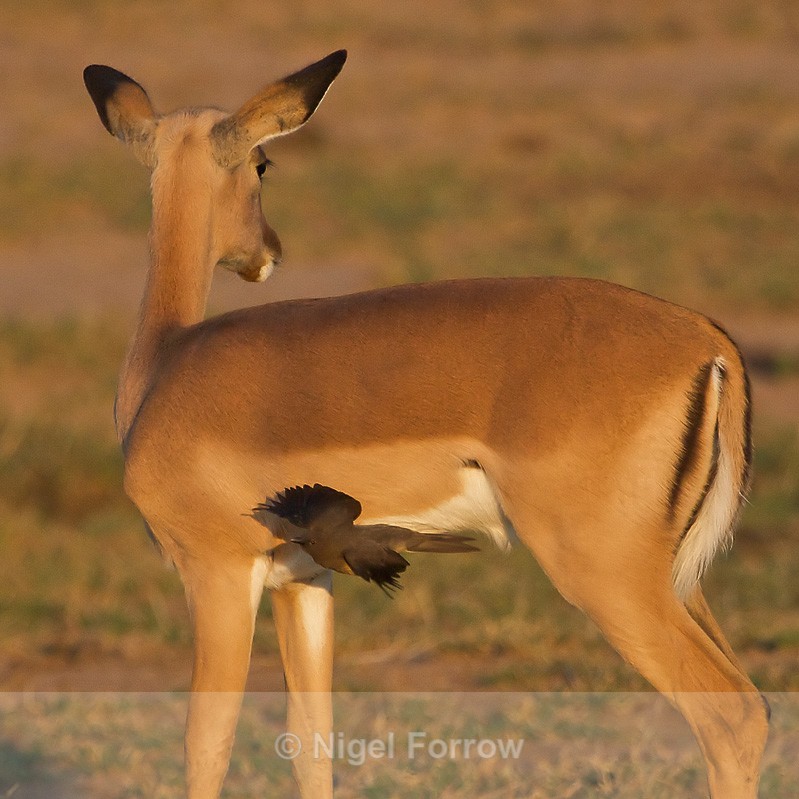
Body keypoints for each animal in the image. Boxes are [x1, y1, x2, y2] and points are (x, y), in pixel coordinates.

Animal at [83, 51, 768, 798]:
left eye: (264, 164)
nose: (269, 251)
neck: (165, 364)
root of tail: (708, 343)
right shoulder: (304, 580)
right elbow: (311, 740)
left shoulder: (218, 574)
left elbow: (207, 742)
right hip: (676, 579)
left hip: (608, 577)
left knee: (731, 714)